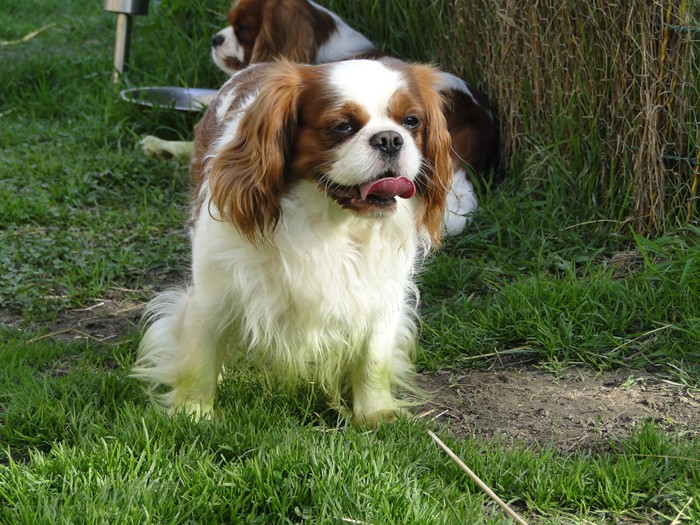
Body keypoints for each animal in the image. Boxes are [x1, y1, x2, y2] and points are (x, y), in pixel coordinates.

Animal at [133, 59, 454, 426]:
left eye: (411, 121)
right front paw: (193, 413)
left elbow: (374, 359)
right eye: (343, 126)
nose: (389, 139)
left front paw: (375, 412)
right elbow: (198, 358)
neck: (330, 220)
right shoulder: (212, 292)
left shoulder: (380, 293)